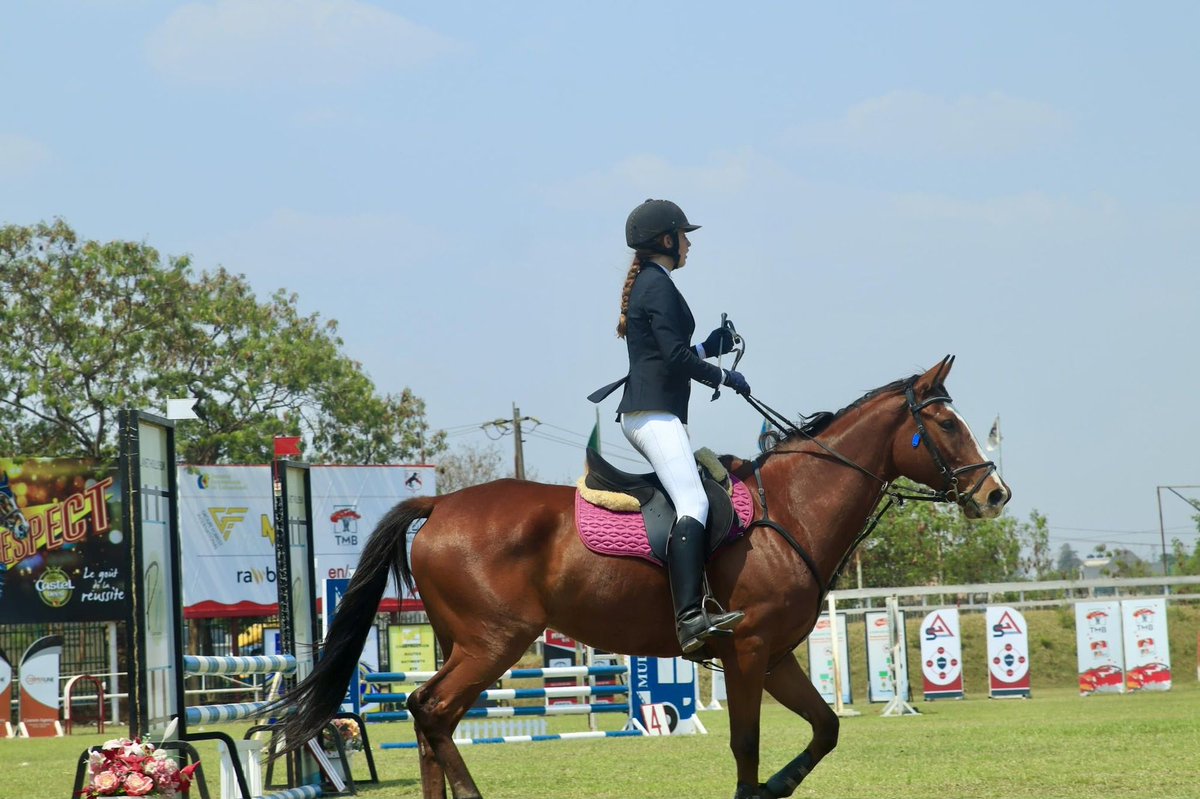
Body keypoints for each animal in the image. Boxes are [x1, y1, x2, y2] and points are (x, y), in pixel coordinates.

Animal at [271, 355, 1010, 799]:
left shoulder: (773, 657)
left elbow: (826, 727)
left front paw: (777, 786)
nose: (995, 493)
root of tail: (440, 503)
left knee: (434, 722)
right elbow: (746, 744)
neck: (790, 509)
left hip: (465, 642)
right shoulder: (746, 654)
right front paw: (758, 788)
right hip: (494, 642)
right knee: (431, 709)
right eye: (947, 423)